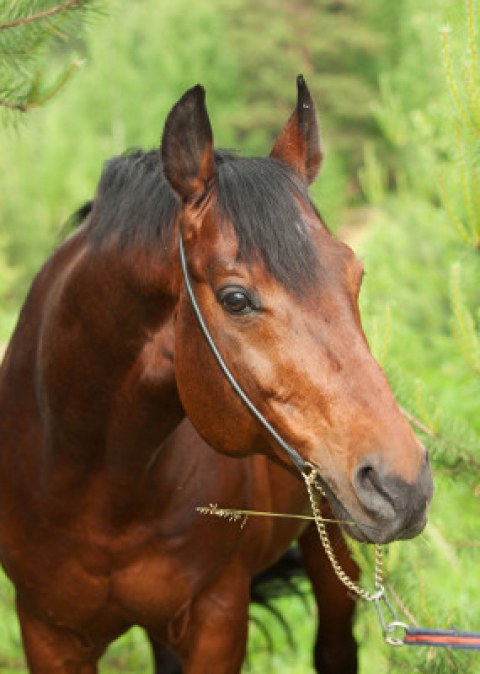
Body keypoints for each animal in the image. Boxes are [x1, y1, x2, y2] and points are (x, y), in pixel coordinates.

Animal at [0, 76, 436, 668]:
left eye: (356, 275)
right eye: (235, 298)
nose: (403, 485)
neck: (95, 481)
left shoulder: (218, 616)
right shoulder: (47, 632)